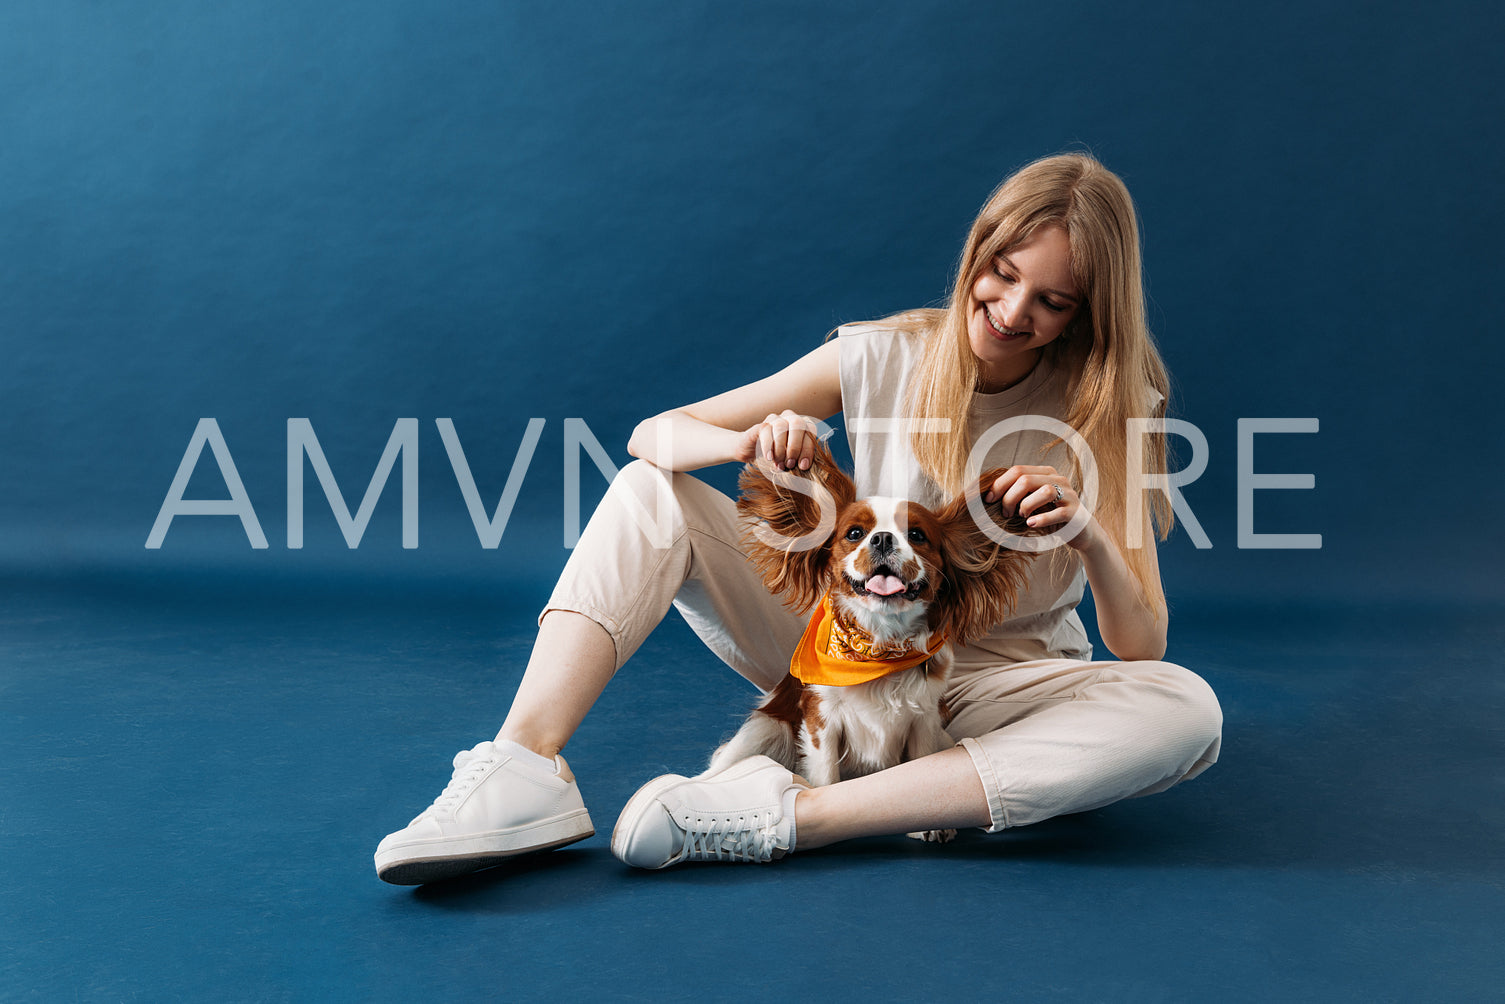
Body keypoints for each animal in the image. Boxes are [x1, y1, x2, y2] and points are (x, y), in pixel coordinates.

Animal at [707, 442, 1047, 842]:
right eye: (854, 533)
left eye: (917, 535)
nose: (882, 538)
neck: (879, 645)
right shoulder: (821, 718)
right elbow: (825, 774)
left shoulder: (925, 720)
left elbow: (922, 768)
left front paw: (932, 824)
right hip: (766, 727)